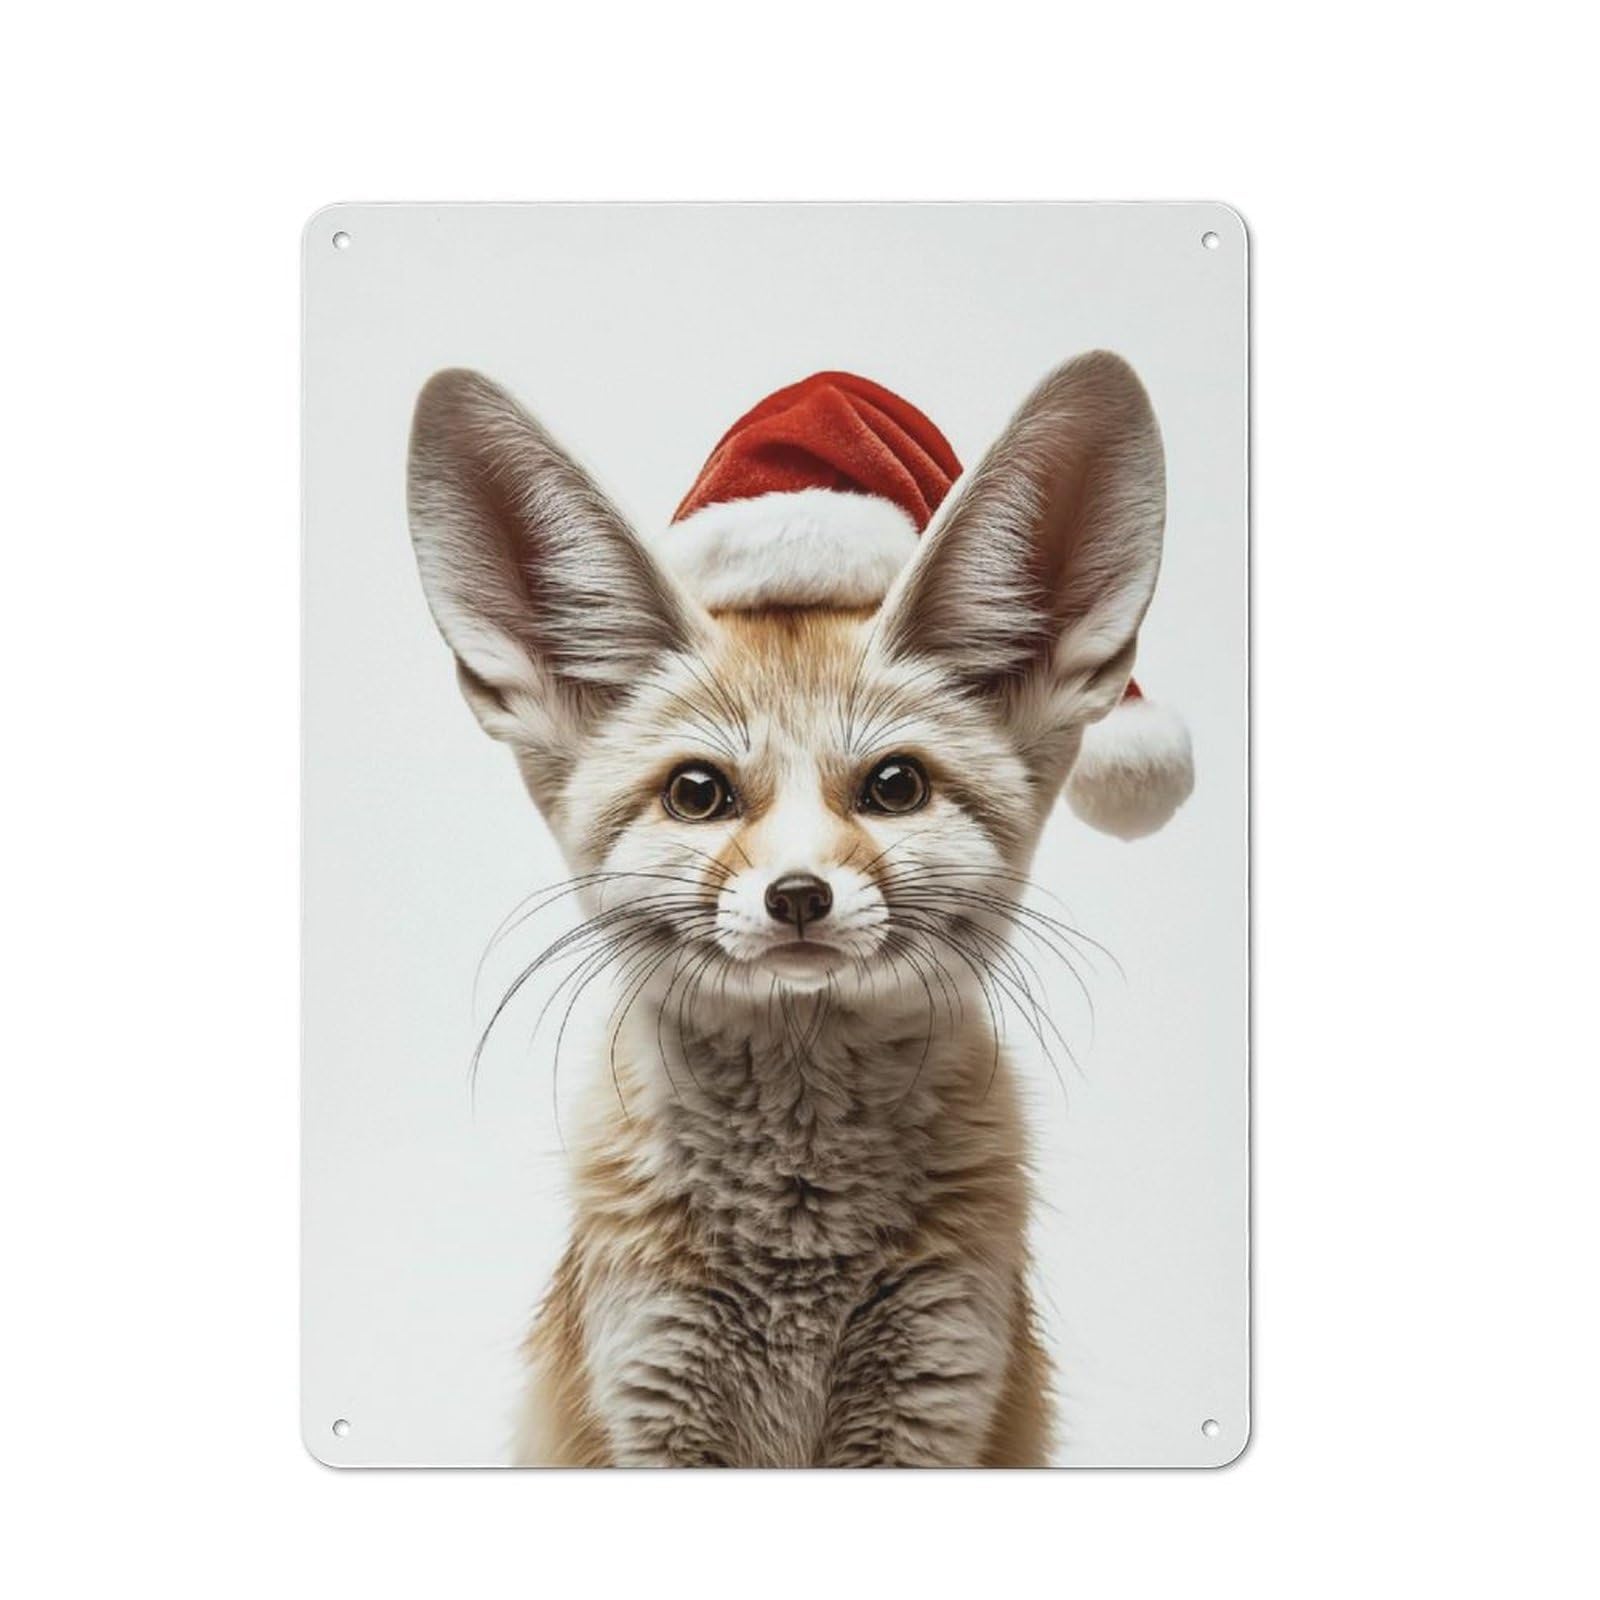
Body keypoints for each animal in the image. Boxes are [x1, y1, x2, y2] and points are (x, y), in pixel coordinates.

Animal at [404, 353, 1189, 1466]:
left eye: (895, 786)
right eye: (698, 793)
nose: (798, 896)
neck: (799, 1239)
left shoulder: (933, 1391)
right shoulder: (653, 1395)